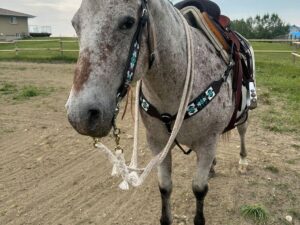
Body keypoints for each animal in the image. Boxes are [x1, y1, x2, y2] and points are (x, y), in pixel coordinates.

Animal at [66, 0, 253, 224]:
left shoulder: (207, 142)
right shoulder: (158, 144)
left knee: (242, 132)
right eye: (76, 24)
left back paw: (243, 161)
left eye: (128, 22)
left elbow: (199, 189)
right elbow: (165, 187)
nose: (80, 115)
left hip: (243, 114)